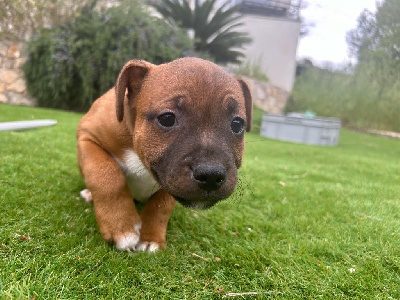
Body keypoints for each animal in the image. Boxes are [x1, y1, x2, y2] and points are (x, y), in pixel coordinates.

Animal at [77, 57, 253, 252]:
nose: (211, 175)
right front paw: (122, 228)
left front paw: (150, 238)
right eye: (167, 118)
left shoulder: (169, 180)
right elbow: (106, 177)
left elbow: (161, 205)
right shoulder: (87, 138)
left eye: (237, 124)